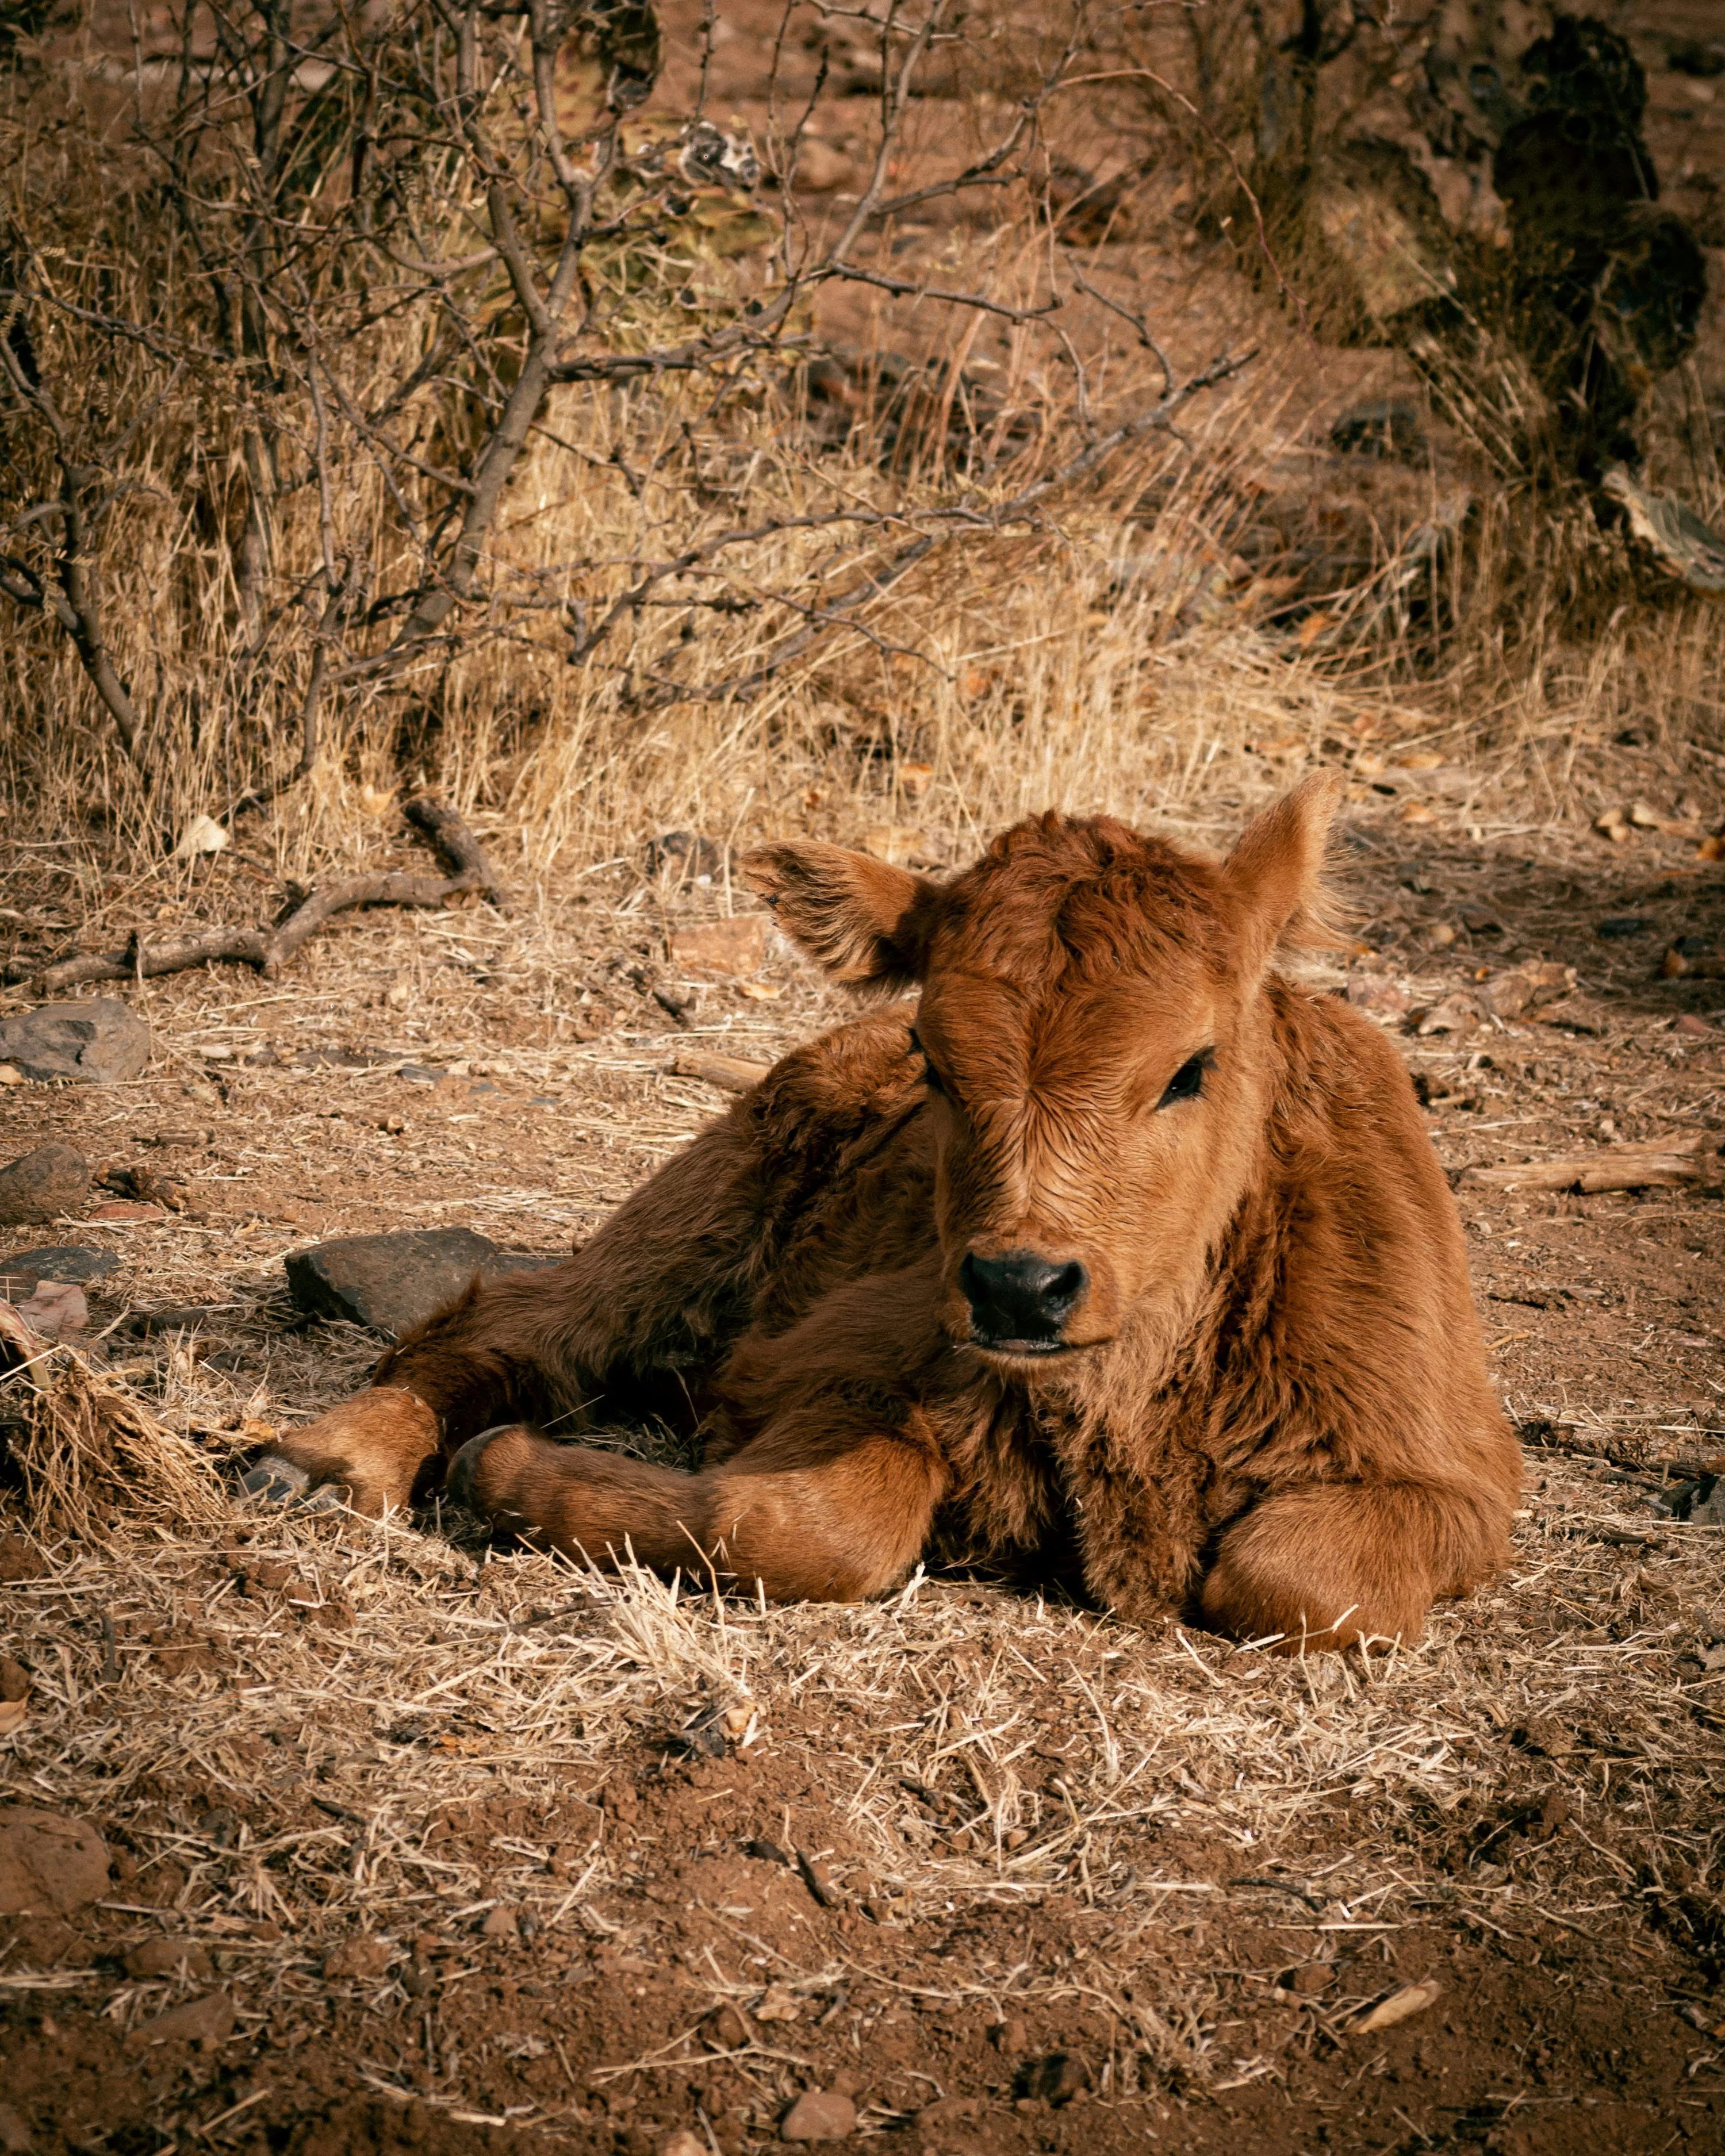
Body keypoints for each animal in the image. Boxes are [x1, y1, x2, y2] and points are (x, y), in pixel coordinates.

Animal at [245, 774, 1520, 1650]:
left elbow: (1291, 1577)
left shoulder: (1461, 1487)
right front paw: (506, 1470)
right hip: (689, 1226)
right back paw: (333, 1458)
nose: (1019, 1286)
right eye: (938, 1062)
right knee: (517, 1321)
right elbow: (824, 1523)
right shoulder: (801, 1366)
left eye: (1190, 1067)